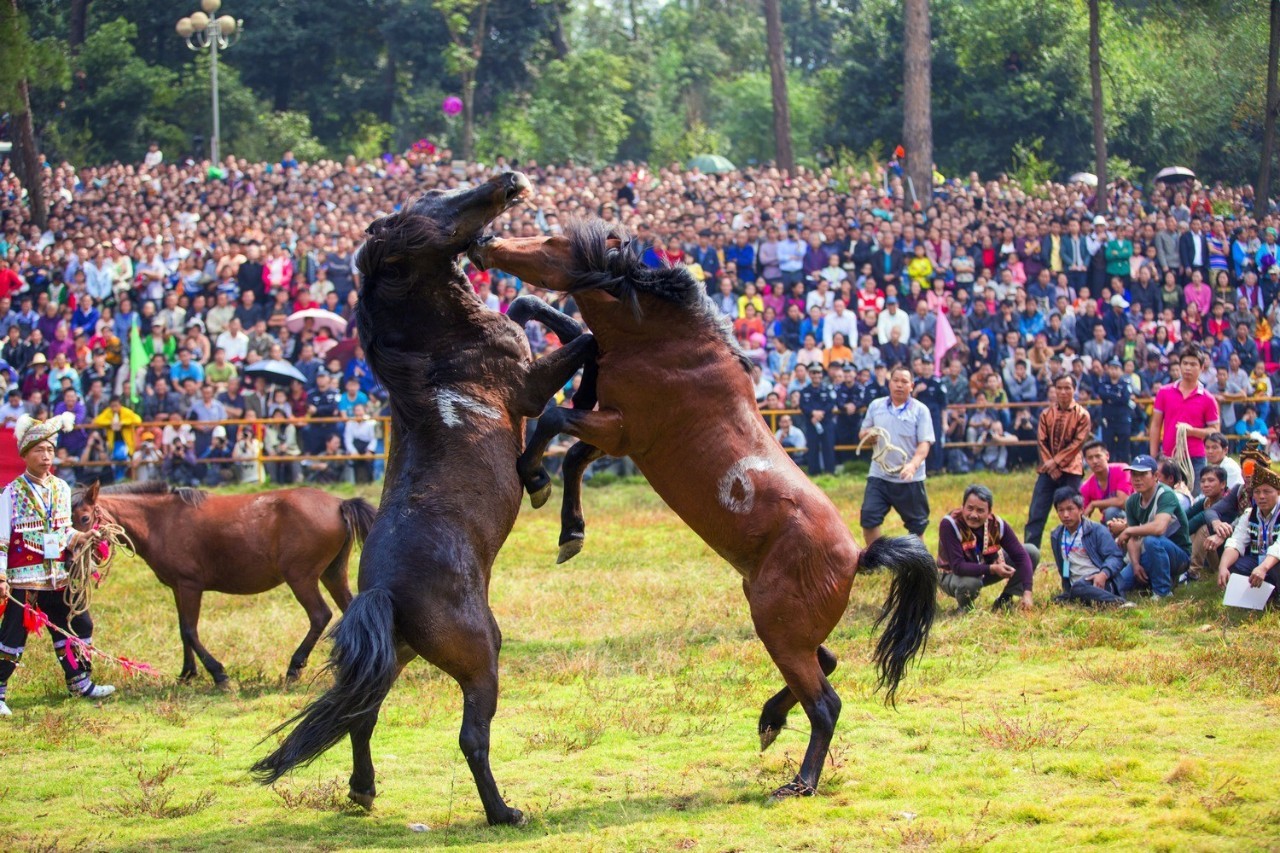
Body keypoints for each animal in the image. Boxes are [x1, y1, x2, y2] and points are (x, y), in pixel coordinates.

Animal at [70, 481, 373, 681]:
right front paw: (187, 672)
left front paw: (218, 673)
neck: (161, 521)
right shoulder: (177, 588)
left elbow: (190, 630)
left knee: (320, 615)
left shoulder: (190, 585)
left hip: (301, 578)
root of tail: (340, 504)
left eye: (84, 517)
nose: (70, 555)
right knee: (350, 609)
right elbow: (183, 630)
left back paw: (294, 666)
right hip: (332, 574)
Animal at [253, 174, 593, 824]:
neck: (441, 354)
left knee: (361, 719)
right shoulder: (530, 387)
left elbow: (530, 309)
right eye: (431, 212)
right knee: (471, 737)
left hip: (398, 658)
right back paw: (503, 812)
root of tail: (385, 593)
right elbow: (581, 345)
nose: (507, 181)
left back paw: (363, 790)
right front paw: (538, 481)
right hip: (480, 658)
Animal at [471, 217, 942, 799]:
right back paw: (770, 721)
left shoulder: (621, 428)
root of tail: (858, 557)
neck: (664, 342)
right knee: (827, 661)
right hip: (784, 627)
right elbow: (576, 453)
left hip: (778, 628)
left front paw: (534, 478)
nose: (484, 243)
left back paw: (800, 780)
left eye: (554, 243)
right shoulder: (616, 433)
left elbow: (555, 421)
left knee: (825, 703)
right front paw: (569, 532)